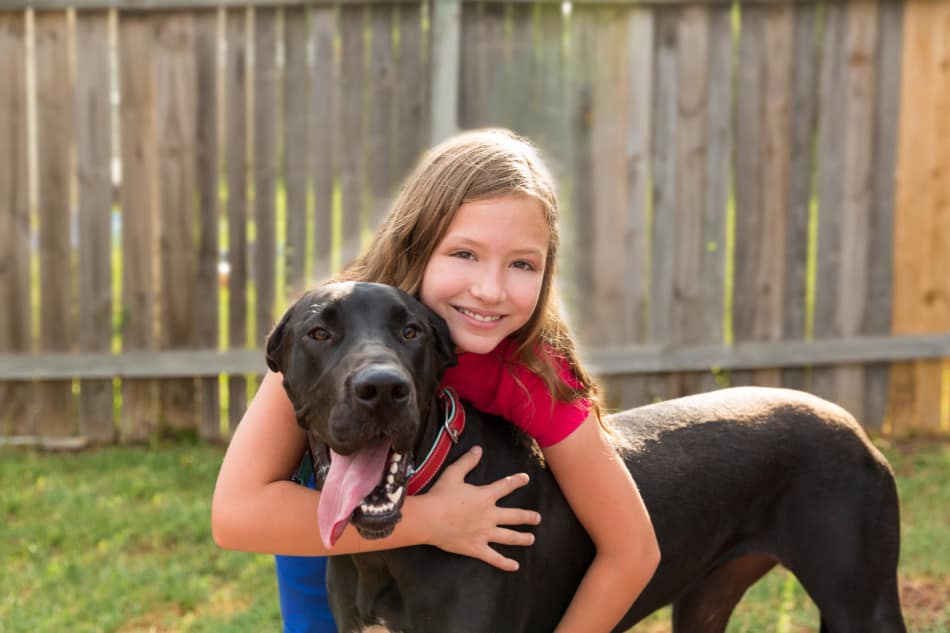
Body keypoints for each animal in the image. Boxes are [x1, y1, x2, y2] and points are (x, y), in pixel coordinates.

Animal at [266, 282, 908, 632]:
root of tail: (849, 421)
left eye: (412, 332)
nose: (382, 388)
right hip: (705, 599)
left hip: (863, 603)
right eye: (319, 333)